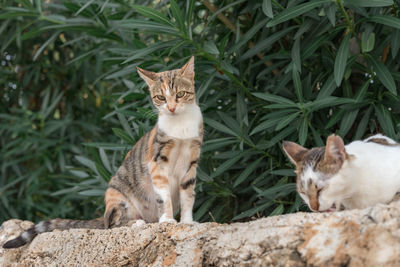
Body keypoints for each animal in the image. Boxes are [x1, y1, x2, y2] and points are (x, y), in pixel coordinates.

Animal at [2, 56, 203, 249]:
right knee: (111, 224)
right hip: (119, 197)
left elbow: (188, 196)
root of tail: (105, 211)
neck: (180, 127)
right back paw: (137, 223)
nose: (171, 108)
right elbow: (164, 195)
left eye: (180, 94)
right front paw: (168, 219)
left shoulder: (192, 161)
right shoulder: (157, 162)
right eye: (160, 97)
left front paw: (188, 222)